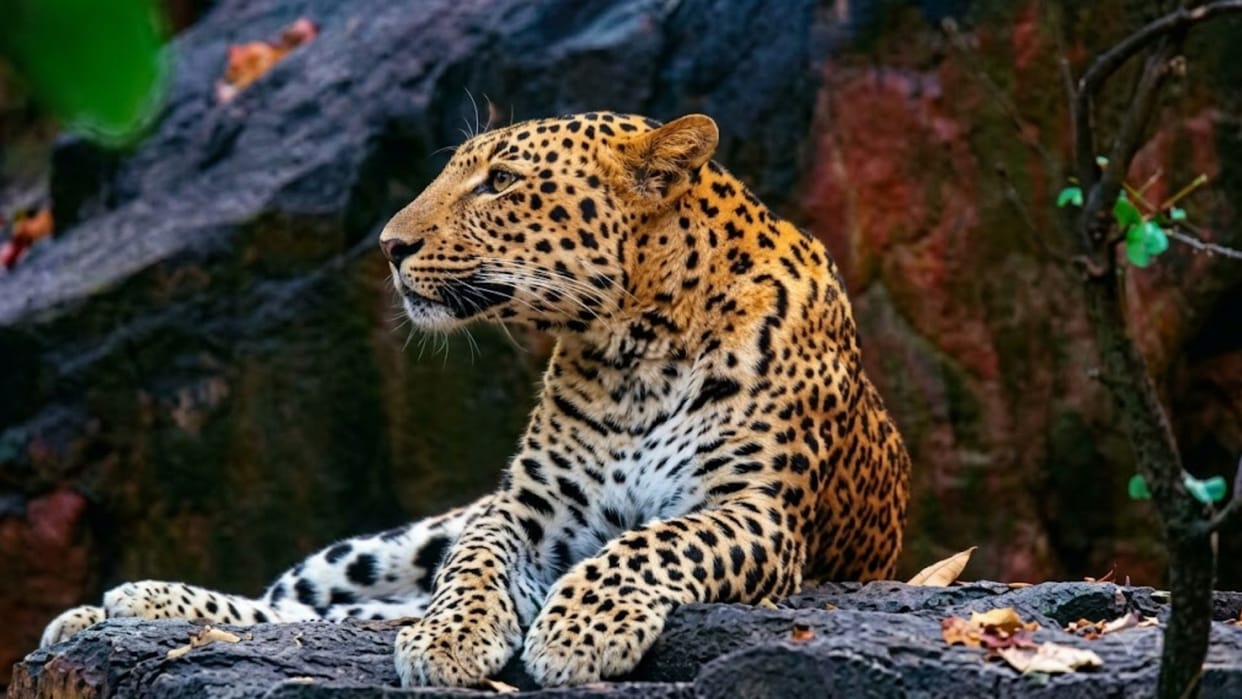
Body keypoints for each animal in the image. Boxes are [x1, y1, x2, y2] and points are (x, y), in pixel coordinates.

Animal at [38, 111, 911, 688]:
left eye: (501, 182)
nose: (389, 246)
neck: (634, 350)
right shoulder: (522, 509)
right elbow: (474, 565)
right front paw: (451, 638)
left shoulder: (757, 509)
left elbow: (652, 542)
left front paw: (578, 630)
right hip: (382, 546)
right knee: (298, 602)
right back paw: (129, 605)